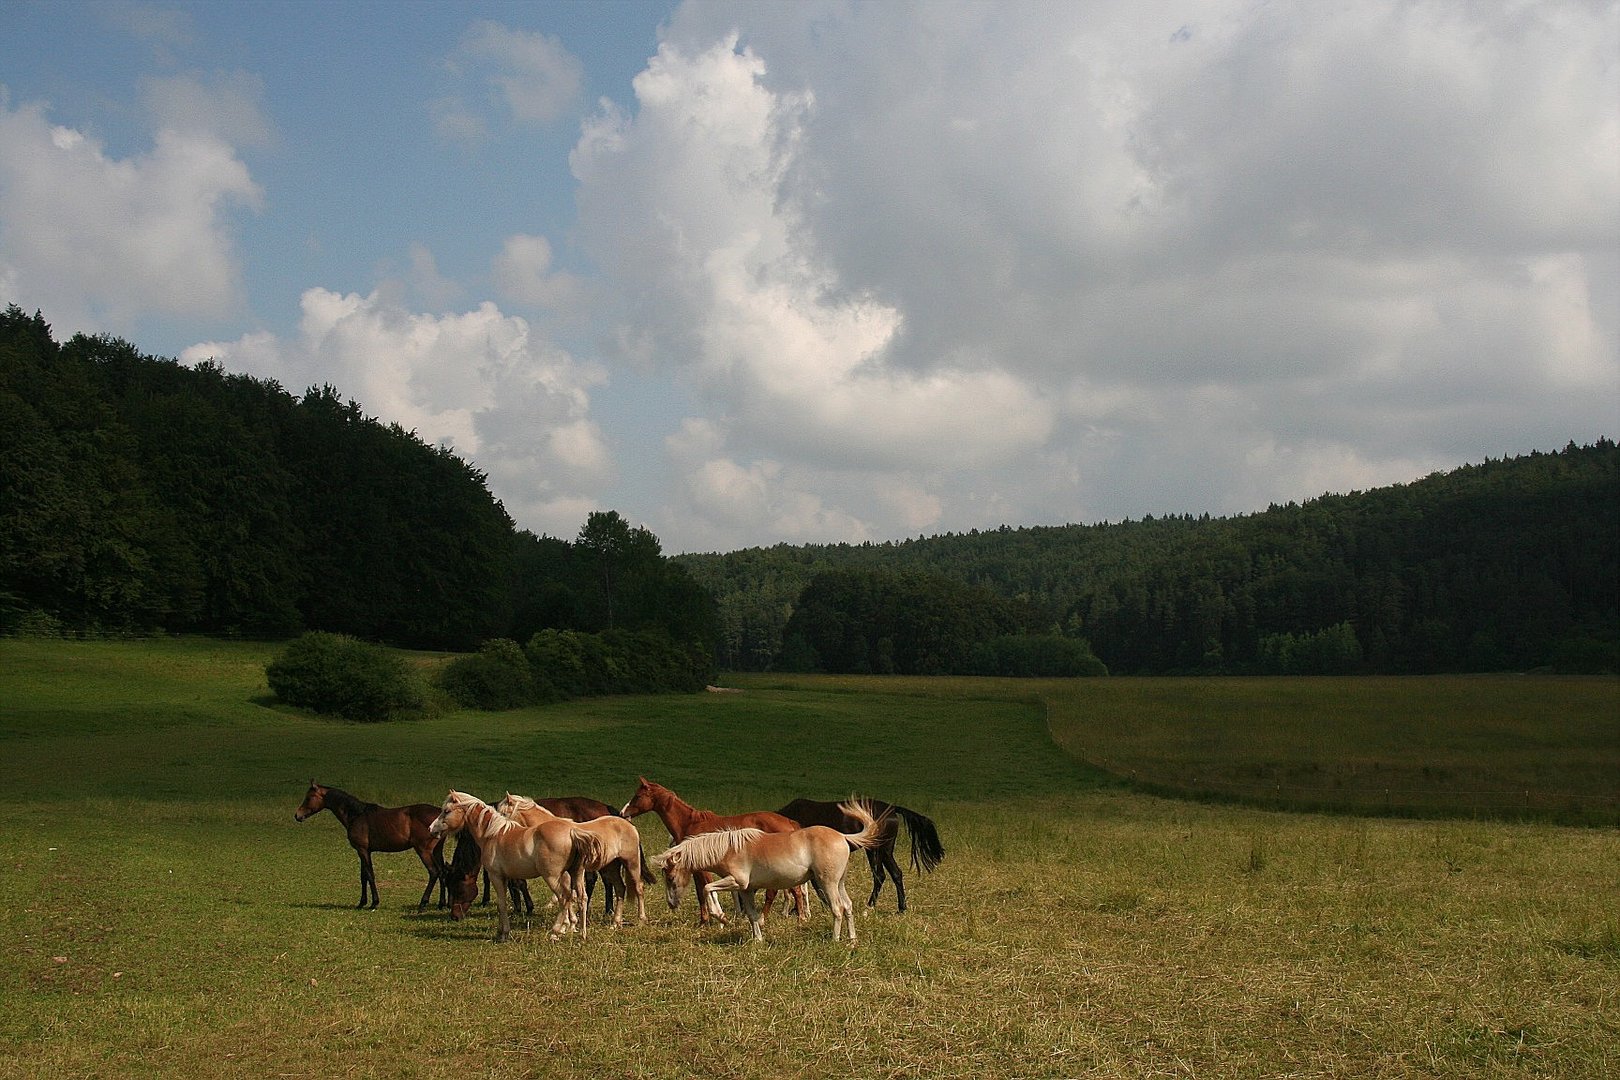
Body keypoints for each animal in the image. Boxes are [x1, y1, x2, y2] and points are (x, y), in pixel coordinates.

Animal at [294, 780, 447, 906]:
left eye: (308, 798)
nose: (297, 815)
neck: (357, 815)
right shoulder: (364, 851)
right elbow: (363, 876)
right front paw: (362, 903)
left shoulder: (362, 850)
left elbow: (369, 875)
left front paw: (374, 902)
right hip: (436, 850)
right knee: (442, 872)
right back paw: (441, 904)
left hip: (423, 850)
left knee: (434, 872)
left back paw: (423, 903)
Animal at [427, 790, 605, 939]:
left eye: (446, 811)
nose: (431, 829)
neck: (493, 834)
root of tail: (572, 832)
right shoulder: (507, 877)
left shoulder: (496, 876)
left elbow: (502, 903)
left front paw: (503, 933)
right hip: (576, 873)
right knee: (581, 897)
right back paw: (582, 933)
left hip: (552, 877)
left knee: (564, 897)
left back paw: (555, 932)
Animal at [495, 793, 654, 932]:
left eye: (503, 813)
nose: (499, 833)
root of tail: (628, 824)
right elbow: (569, 896)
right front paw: (571, 925)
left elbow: (568, 895)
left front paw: (568, 925)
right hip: (611, 867)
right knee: (620, 889)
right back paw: (615, 923)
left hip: (632, 862)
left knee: (639, 887)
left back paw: (641, 920)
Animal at [648, 799, 887, 939]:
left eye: (670, 877)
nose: (671, 904)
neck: (729, 848)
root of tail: (842, 837)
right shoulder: (746, 890)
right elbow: (752, 914)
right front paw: (758, 939)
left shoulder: (736, 881)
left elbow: (708, 888)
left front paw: (722, 918)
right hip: (839, 884)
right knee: (848, 906)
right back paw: (851, 940)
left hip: (827, 883)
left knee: (837, 909)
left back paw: (836, 940)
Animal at [774, 793, 946, 913]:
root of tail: (892, 809)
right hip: (882, 850)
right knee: (894, 874)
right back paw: (899, 908)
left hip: (877, 849)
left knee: (882, 875)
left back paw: (871, 906)